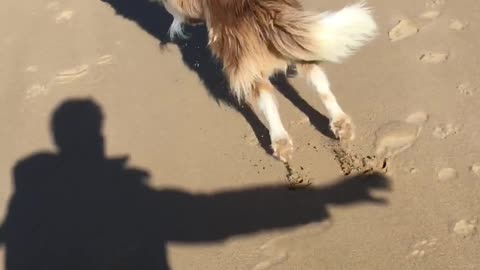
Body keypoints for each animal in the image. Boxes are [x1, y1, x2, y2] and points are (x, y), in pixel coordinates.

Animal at [156, 0, 376, 162]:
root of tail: (265, 12)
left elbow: (173, 10)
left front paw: (175, 27)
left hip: (247, 67)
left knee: (268, 106)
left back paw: (281, 143)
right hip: (298, 51)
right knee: (321, 86)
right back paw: (341, 124)